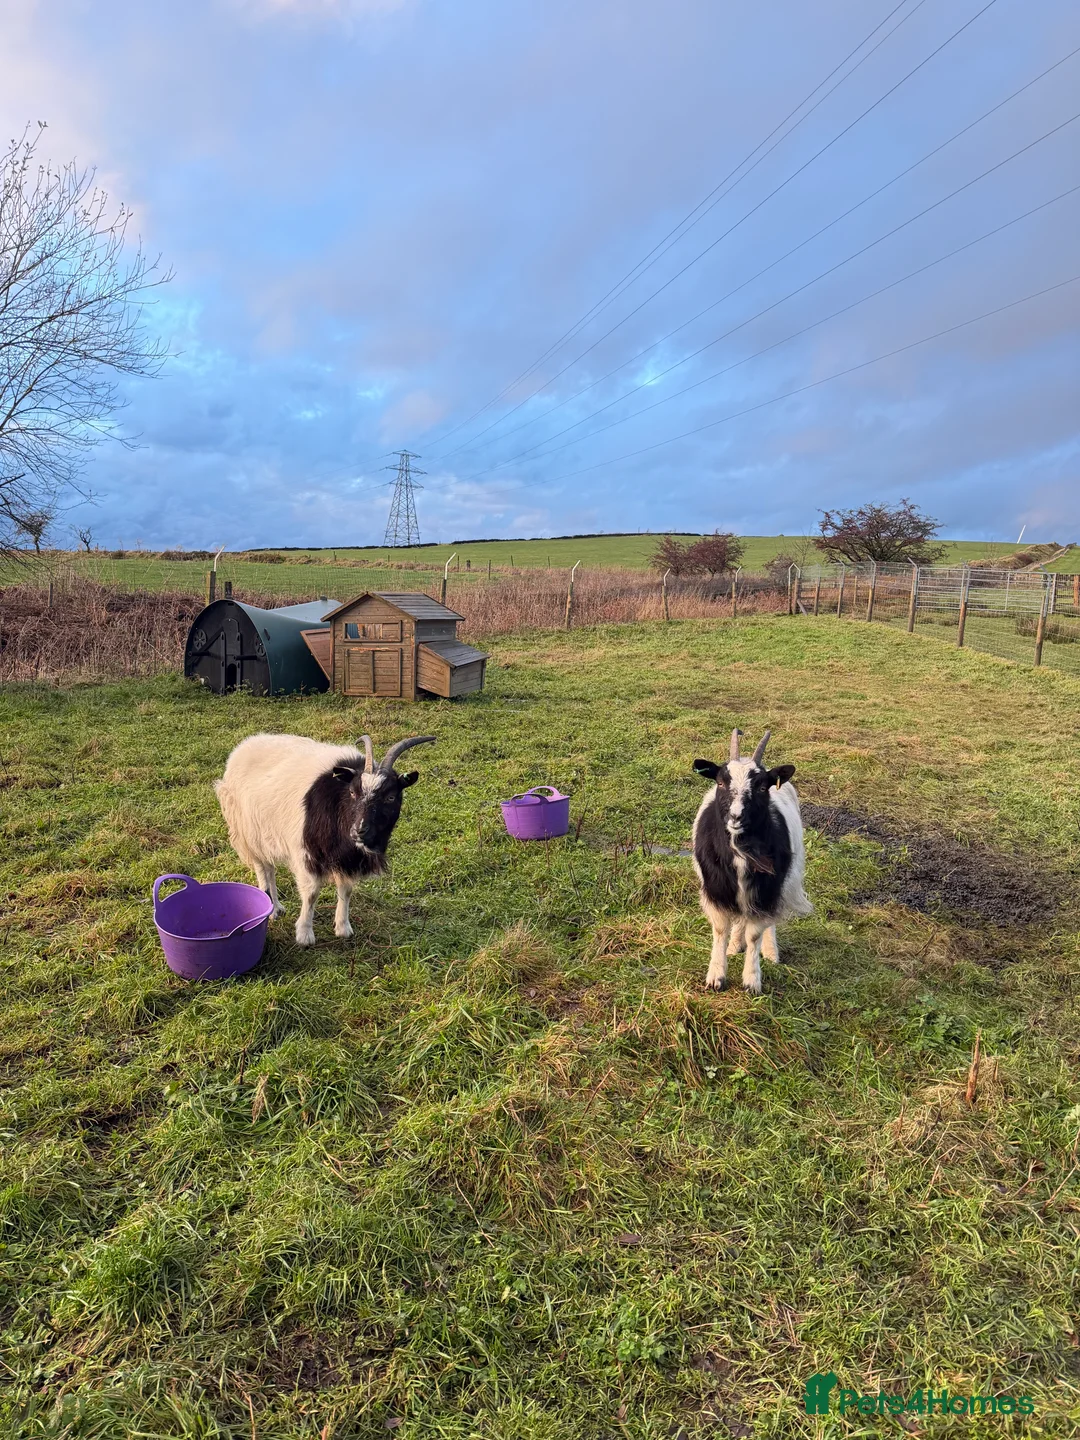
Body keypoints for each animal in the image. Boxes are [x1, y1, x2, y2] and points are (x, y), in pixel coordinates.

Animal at [215, 732, 434, 946]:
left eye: (390, 797)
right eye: (352, 792)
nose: (359, 831)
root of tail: (244, 746)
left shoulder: (347, 859)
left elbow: (346, 890)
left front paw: (343, 928)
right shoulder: (306, 853)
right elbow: (311, 894)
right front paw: (304, 935)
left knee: (270, 867)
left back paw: (276, 906)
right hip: (249, 831)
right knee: (263, 867)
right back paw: (273, 910)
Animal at [691, 728, 811, 993]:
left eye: (762, 788)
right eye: (720, 782)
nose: (736, 816)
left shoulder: (767, 887)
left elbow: (755, 933)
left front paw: (752, 981)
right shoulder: (716, 887)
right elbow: (720, 929)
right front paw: (716, 976)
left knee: (766, 920)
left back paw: (770, 952)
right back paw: (735, 944)